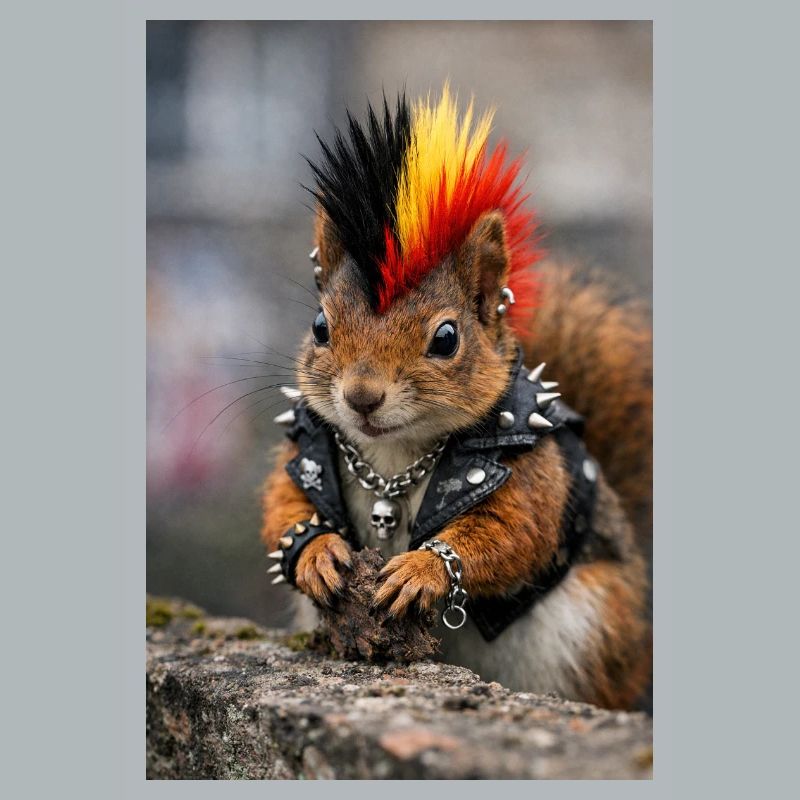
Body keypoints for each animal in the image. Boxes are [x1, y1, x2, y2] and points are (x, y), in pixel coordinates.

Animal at [260, 86, 652, 711]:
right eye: (320, 326)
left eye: (446, 338)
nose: (361, 397)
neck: (395, 457)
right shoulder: (308, 443)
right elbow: (284, 503)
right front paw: (317, 551)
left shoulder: (531, 472)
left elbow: (512, 531)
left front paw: (423, 569)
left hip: (592, 637)